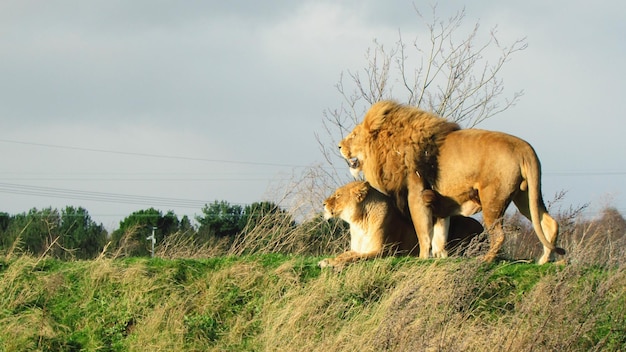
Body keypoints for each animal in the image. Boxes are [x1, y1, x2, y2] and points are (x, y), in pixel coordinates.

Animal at [316, 180, 482, 270]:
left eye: (338, 195)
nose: (323, 203)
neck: (359, 223)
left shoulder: (384, 251)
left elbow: (357, 257)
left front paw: (332, 263)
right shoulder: (358, 248)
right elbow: (345, 254)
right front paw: (328, 260)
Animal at [338, 100, 564, 262]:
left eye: (354, 135)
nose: (339, 146)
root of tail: (524, 147)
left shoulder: (416, 192)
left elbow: (423, 231)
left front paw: (422, 258)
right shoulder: (439, 201)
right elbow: (440, 234)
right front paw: (440, 257)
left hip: (493, 198)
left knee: (500, 235)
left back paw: (486, 260)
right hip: (525, 196)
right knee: (550, 223)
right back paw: (544, 261)